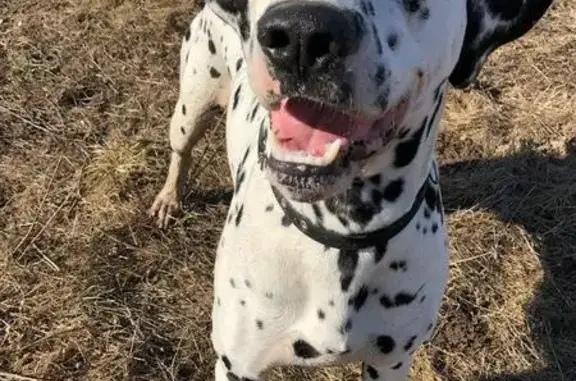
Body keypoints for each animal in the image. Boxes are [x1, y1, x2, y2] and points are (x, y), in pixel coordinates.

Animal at [150, 0, 552, 378]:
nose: (301, 35)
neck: (342, 232)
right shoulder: (237, 366)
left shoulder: (391, 363)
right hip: (191, 106)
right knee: (181, 151)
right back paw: (169, 198)